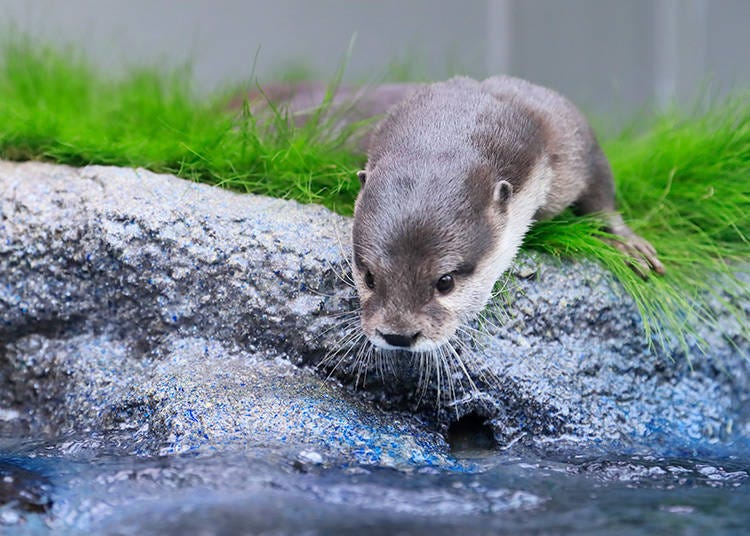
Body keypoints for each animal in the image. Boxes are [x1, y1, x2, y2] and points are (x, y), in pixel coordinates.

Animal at [352, 75, 664, 352]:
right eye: (369, 278)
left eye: (445, 282)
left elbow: (600, 188)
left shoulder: (571, 137)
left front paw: (626, 243)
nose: (398, 335)